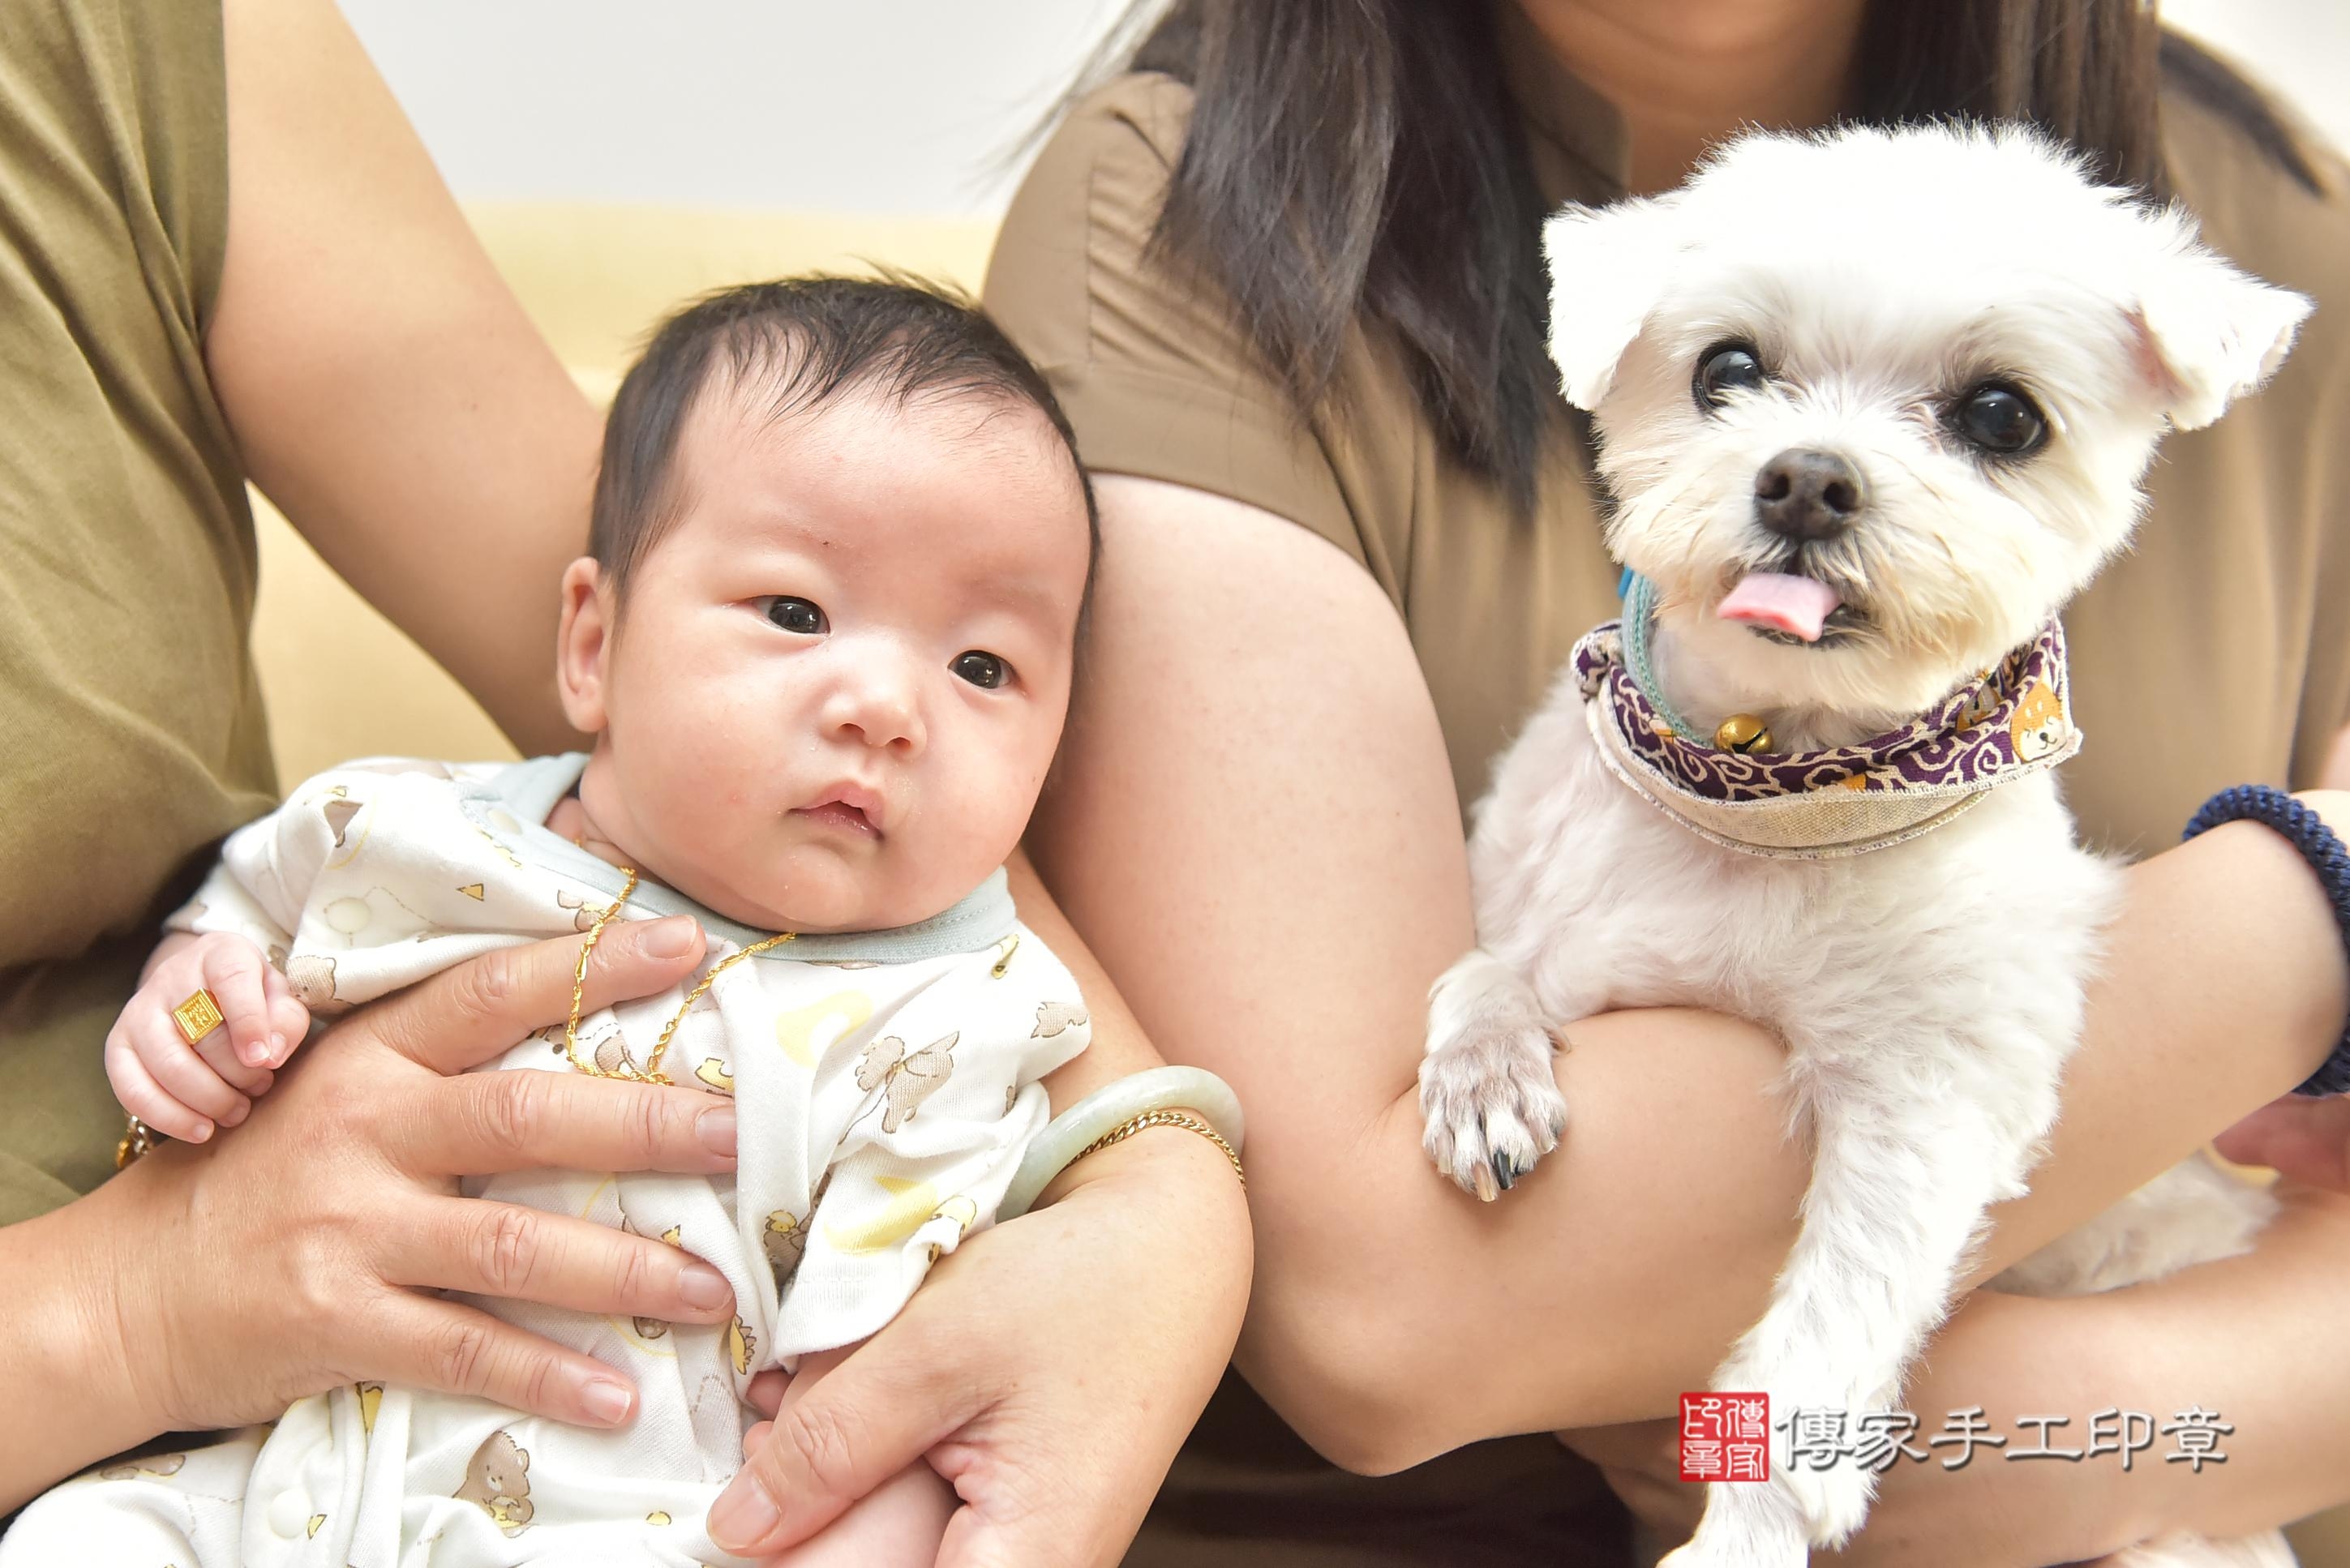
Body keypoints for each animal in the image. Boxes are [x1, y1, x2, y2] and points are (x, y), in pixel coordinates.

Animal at [1409, 122, 2312, 1568]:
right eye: (1726, 369)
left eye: (2001, 415)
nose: (1806, 476)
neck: (1766, 786)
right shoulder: (1553, 898)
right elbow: (1489, 966)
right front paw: (1485, 1075)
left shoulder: (1928, 1078)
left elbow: (1826, 1330)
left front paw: (1744, 1531)